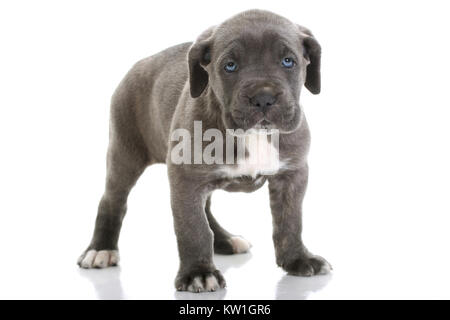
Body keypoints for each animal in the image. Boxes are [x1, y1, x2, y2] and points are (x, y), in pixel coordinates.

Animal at [77, 8, 330, 292]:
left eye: (288, 61)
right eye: (229, 66)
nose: (263, 98)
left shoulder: (292, 175)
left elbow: (290, 221)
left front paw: (298, 259)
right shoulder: (186, 179)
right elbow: (193, 227)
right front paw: (198, 273)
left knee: (206, 209)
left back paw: (225, 240)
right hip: (125, 153)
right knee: (112, 200)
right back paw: (100, 249)